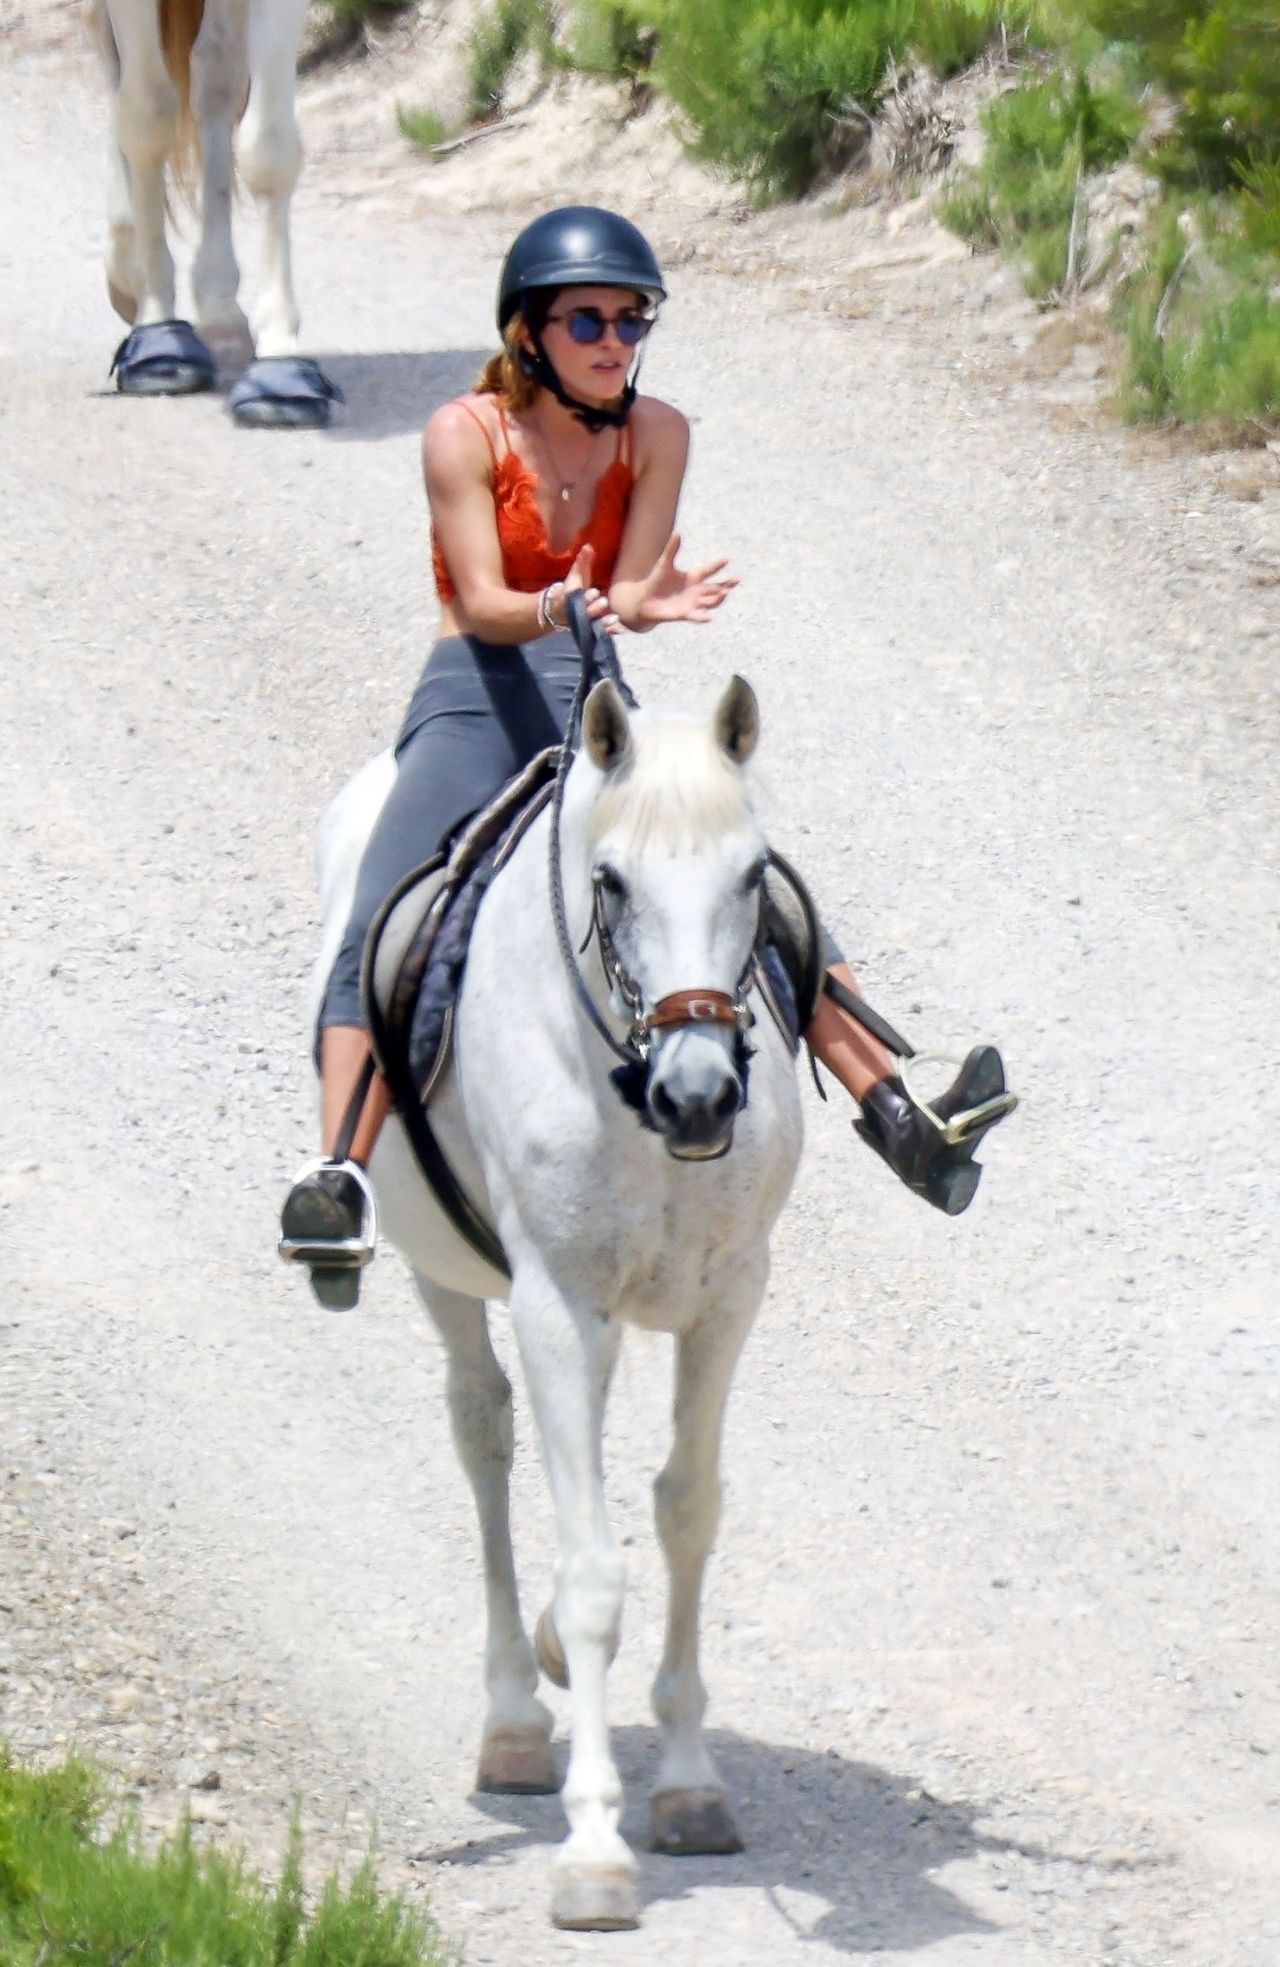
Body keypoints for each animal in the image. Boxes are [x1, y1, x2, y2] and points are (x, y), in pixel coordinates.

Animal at [312, 668, 806, 1927]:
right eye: (611, 880)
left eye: (752, 872)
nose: (697, 1093)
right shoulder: (553, 1302)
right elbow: (591, 1572)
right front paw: (594, 1848)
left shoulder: (727, 1296)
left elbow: (686, 1512)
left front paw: (688, 1787)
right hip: (448, 1274)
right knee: (483, 1432)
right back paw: (513, 1720)